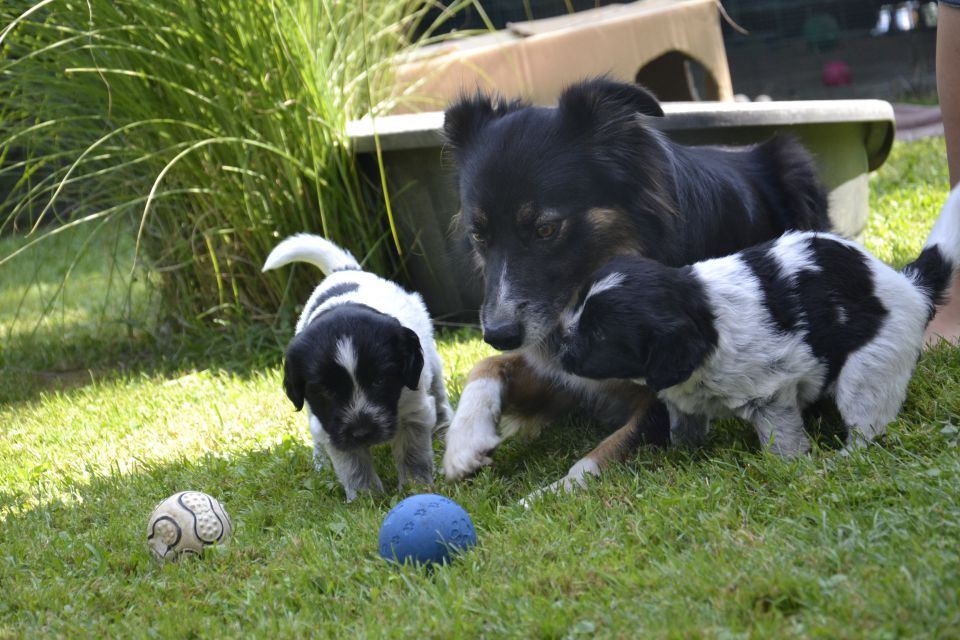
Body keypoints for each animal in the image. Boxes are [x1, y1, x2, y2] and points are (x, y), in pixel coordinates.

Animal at [262, 232, 454, 502]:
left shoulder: (413, 406)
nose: (363, 434)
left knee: (438, 395)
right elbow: (351, 462)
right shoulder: (332, 423)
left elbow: (412, 452)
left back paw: (443, 431)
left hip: (432, 361)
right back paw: (321, 464)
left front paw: (415, 487)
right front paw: (365, 498)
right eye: (327, 391)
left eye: (379, 381)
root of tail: (344, 270)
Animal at [442, 76, 832, 496]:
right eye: (478, 235)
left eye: (546, 228)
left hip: (796, 162)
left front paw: (545, 496)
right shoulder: (561, 363)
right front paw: (464, 443)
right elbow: (488, 363)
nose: (499, 334)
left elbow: (595, 459)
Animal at [564, 185, 960, 456]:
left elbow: (780, 436)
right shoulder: (681, 394)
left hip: (869, 368)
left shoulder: (770, 393)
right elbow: (683, 423)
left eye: (599, 335)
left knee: (867, 423)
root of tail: (910, 286)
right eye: (577, 309)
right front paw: (681, 456)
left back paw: (843, 458)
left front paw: (793, 467)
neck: (705, 315)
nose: (561, 353)